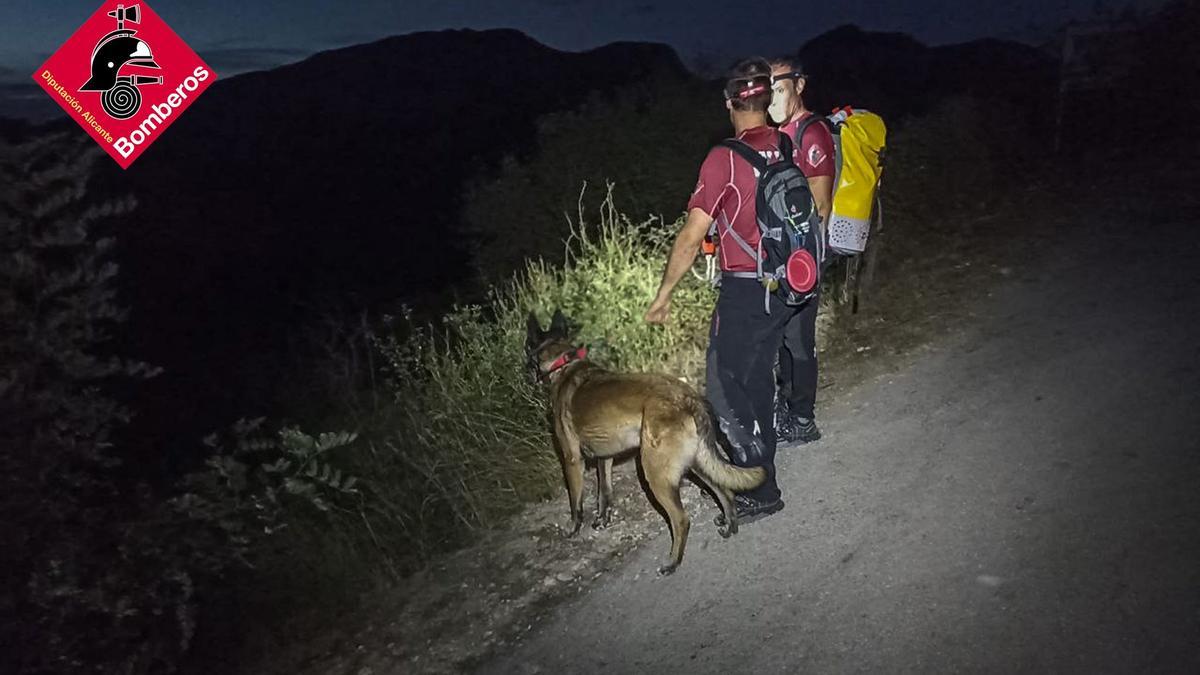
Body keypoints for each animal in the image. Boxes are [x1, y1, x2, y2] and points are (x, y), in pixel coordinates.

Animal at [523, 309, 763, 571]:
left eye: (526, 347)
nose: (525, 374)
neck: (563, 364)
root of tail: (687, 397)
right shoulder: (605, 457)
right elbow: (604, 492)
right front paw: (602, 520)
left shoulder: (571, 459)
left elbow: (576, 502)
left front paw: (573, 530)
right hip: (696, 462)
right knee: (724, 491)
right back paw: (730, 525)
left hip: (655, 472)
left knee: (681, 519)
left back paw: (673, 562)